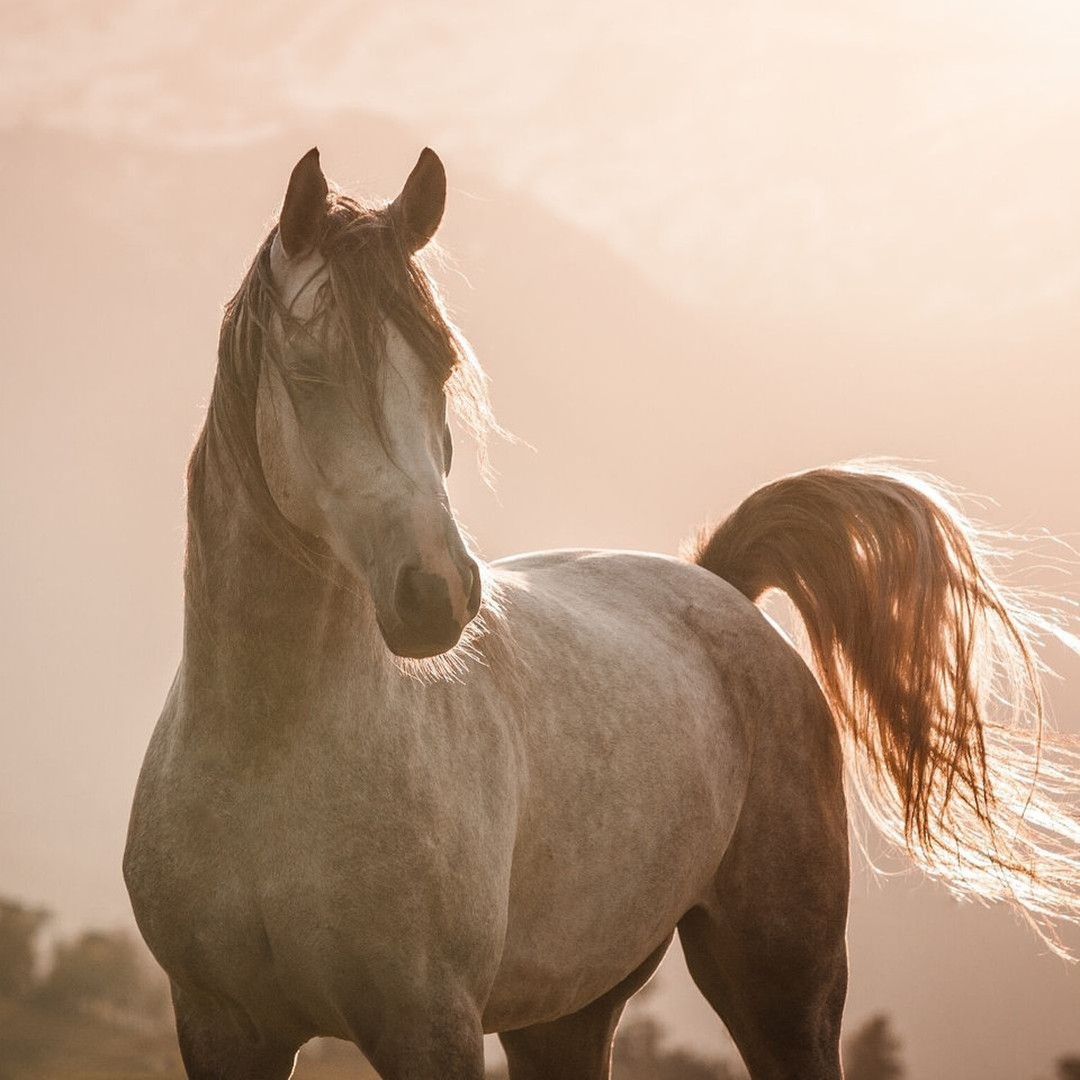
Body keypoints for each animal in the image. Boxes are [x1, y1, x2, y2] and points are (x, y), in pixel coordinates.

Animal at [124, 146, 1080, 1080]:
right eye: (311, 373)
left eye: (442, 368)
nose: (437, 592)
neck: (271, 755)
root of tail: (718, 584)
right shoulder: (222, 1027)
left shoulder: (428, 1026)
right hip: (568, 1013)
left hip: (781, 983)